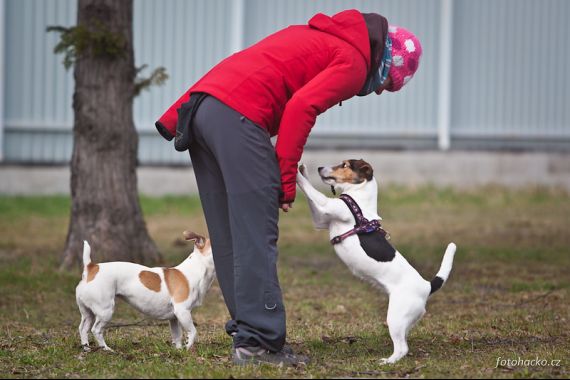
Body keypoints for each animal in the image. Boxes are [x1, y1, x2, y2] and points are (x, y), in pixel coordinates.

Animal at [75, 232, 215, 354]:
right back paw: (106, 349)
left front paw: (179, 351)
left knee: (83, 329)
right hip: (105, 311)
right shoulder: (183, 311)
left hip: (87, 313)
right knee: (96, 330)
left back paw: (86, 348)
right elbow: (193, 331)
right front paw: (188, 347)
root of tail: (91, 268)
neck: (196, 270)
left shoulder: (174, 318)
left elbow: (177, 336)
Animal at [296, 159, 454, 364]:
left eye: (345, 165)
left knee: (402, 348)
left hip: (395, 316)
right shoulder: (320, 219)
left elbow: (310, 189)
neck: (359, 196)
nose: (319, 168)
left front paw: (296, 172)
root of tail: (427, 286)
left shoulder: (328, 204)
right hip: (404, 320)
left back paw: (387, 362)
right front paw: (303, 169)